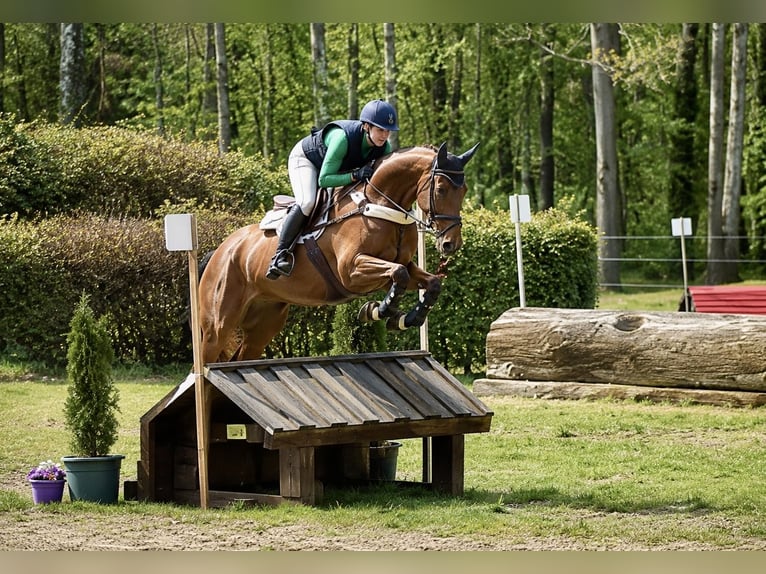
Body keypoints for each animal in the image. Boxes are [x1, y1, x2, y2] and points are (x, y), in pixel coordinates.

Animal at [198, 141, 480, 363]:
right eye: (441, 189)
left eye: (465, 190)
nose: (451, 244)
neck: (378, 204)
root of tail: (219, 251)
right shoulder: (351, 270)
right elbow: (398, 274)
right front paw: (377, 310)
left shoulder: (400, 266)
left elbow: (429, 282)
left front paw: (406, 318)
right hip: (218, 325)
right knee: (206, 360)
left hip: (264, 324)